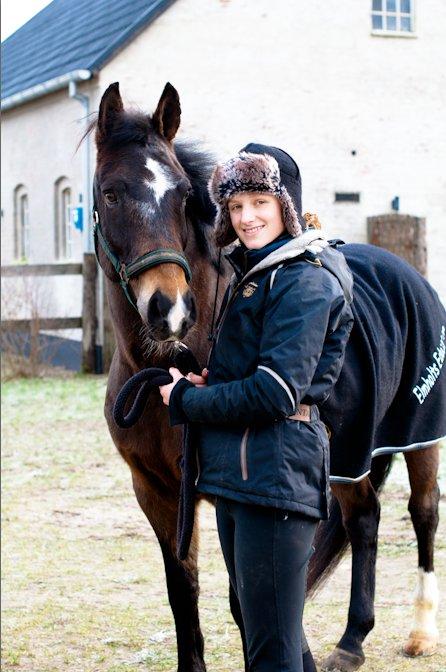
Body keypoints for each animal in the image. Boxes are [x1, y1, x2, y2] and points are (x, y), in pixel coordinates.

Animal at [91, 81, 444, 672]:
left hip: (420, 435)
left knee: (423, 514)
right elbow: (183, 592)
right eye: (110, 194)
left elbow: (249, 601)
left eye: (183, 196)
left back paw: (420, 633)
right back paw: (352, 641)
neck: (163, 371)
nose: (170, 310)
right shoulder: (157, 492)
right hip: (350, 457)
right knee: (364, 518)